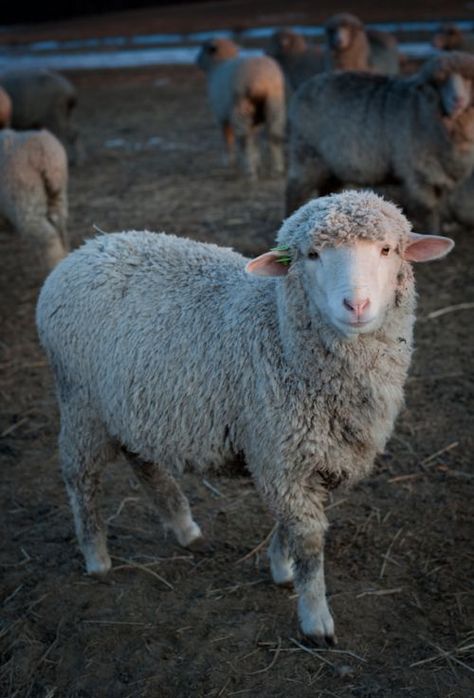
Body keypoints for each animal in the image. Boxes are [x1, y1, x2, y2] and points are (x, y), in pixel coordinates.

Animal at [35, 189, 454, 640]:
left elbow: (291, 527)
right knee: (80, 477)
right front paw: (315, 617)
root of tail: (87, 248)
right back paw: (96, 557)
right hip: (80, 402)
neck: (280, 337)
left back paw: (184, 527)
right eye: (312, 254)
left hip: (128, 404)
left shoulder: (307, 458)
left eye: (387, 249)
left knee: (144, 462)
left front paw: (281, 567)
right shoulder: (280, 457)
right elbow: (308, 540)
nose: (356, 305)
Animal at [196, 37, 286, 179]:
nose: (196, 60)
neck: (218, 64)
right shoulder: (255, 120)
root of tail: (260, 80)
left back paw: (250, 172)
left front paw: (228, 162)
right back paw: (277, 170)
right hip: (274, 105)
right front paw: (257, 160)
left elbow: (227, 138)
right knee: (275, 136)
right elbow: (255, 139)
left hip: (240, 108)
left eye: (204, 48)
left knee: (244, 139)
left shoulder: (221, 116)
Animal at [286, 53, 474, 230]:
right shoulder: (419, 173)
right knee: (294, 191)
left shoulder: (438, 175)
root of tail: (306, 86)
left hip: (332, 166)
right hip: (306, 153)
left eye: (468, 79)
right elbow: (429, 213)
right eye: (440, 81)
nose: (458, 101)